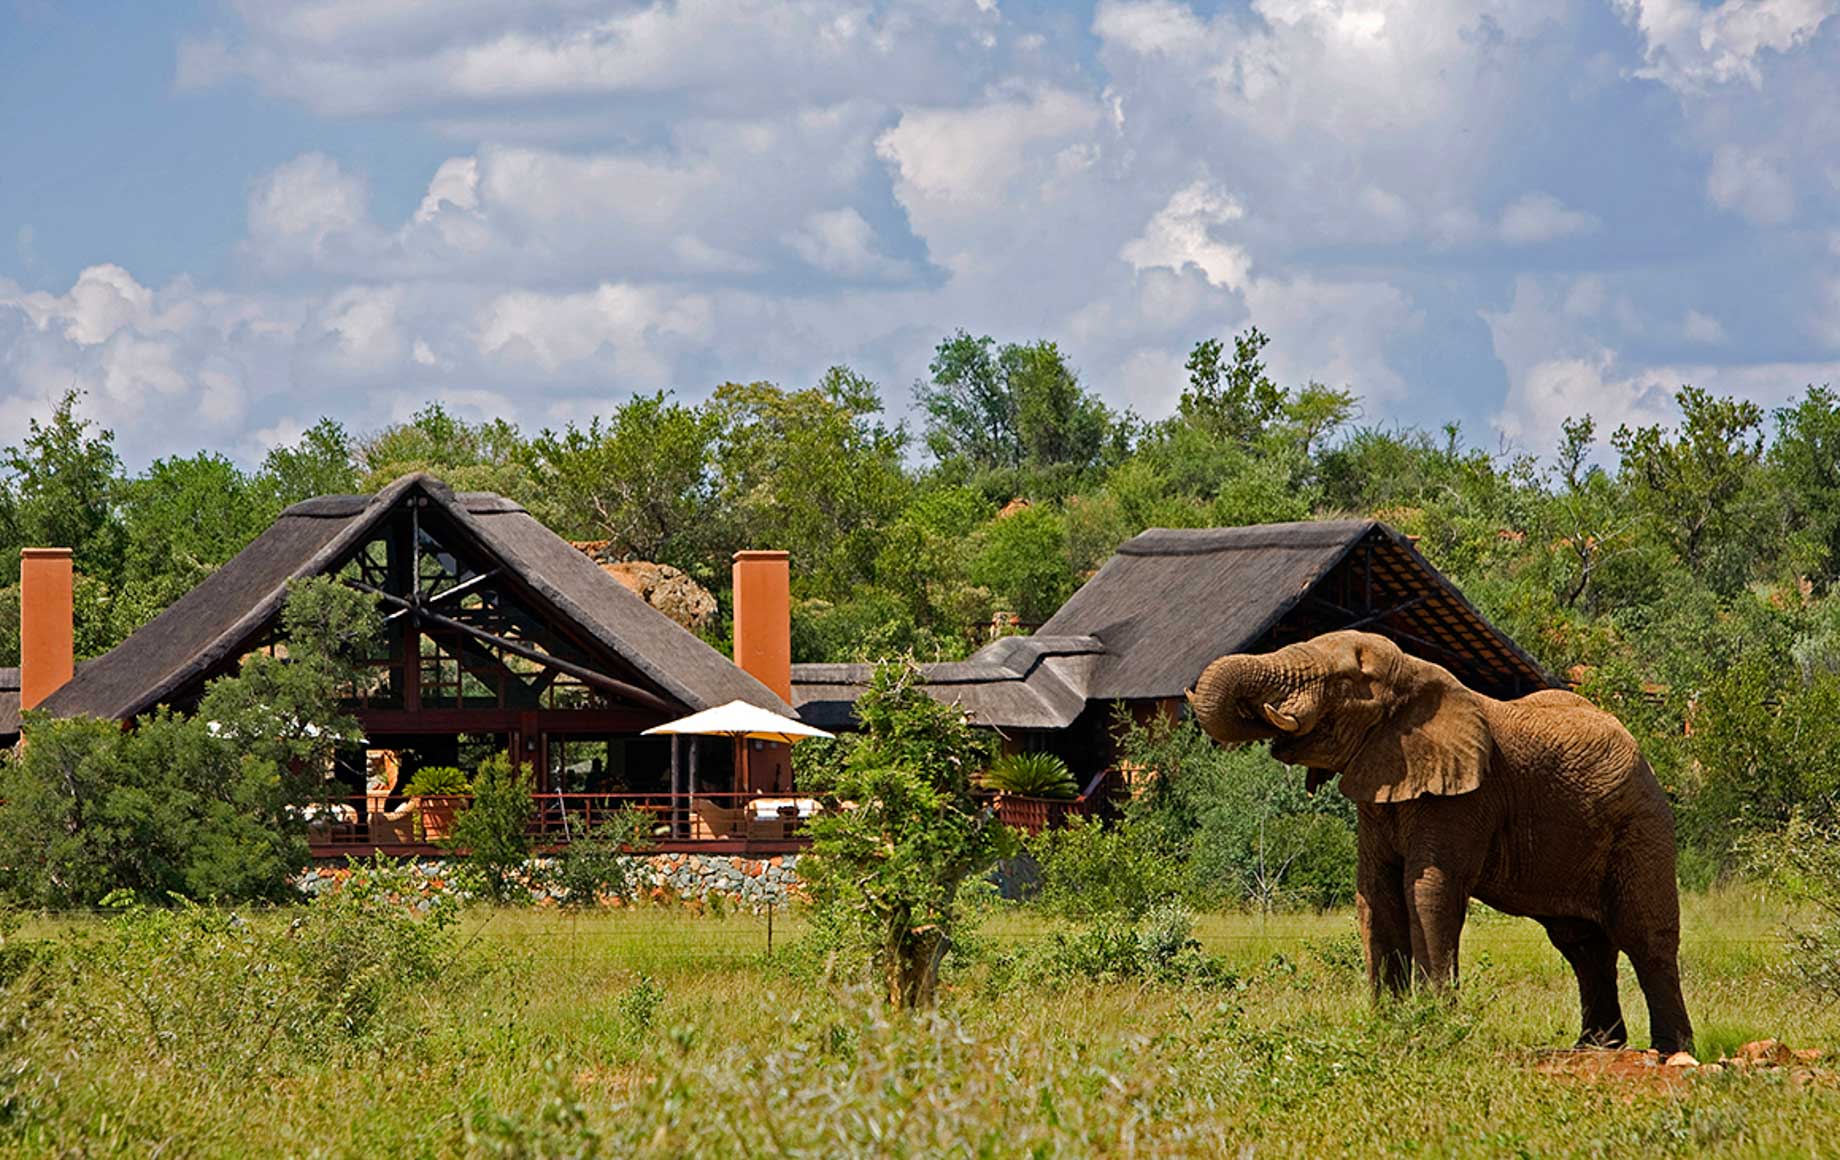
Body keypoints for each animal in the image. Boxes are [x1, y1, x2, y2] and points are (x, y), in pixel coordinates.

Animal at [1187, 630, 1692, 1055]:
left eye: (1345, 681)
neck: (1415, 674)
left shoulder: (1466, 798)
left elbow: (1428, 890)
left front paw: (1434, 1026)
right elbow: (1377, 894)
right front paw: (1388, 1026)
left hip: (1642, 824)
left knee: (1644, 936)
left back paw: (1672, 1052)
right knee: (1581, 943)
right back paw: (1596, 1047)